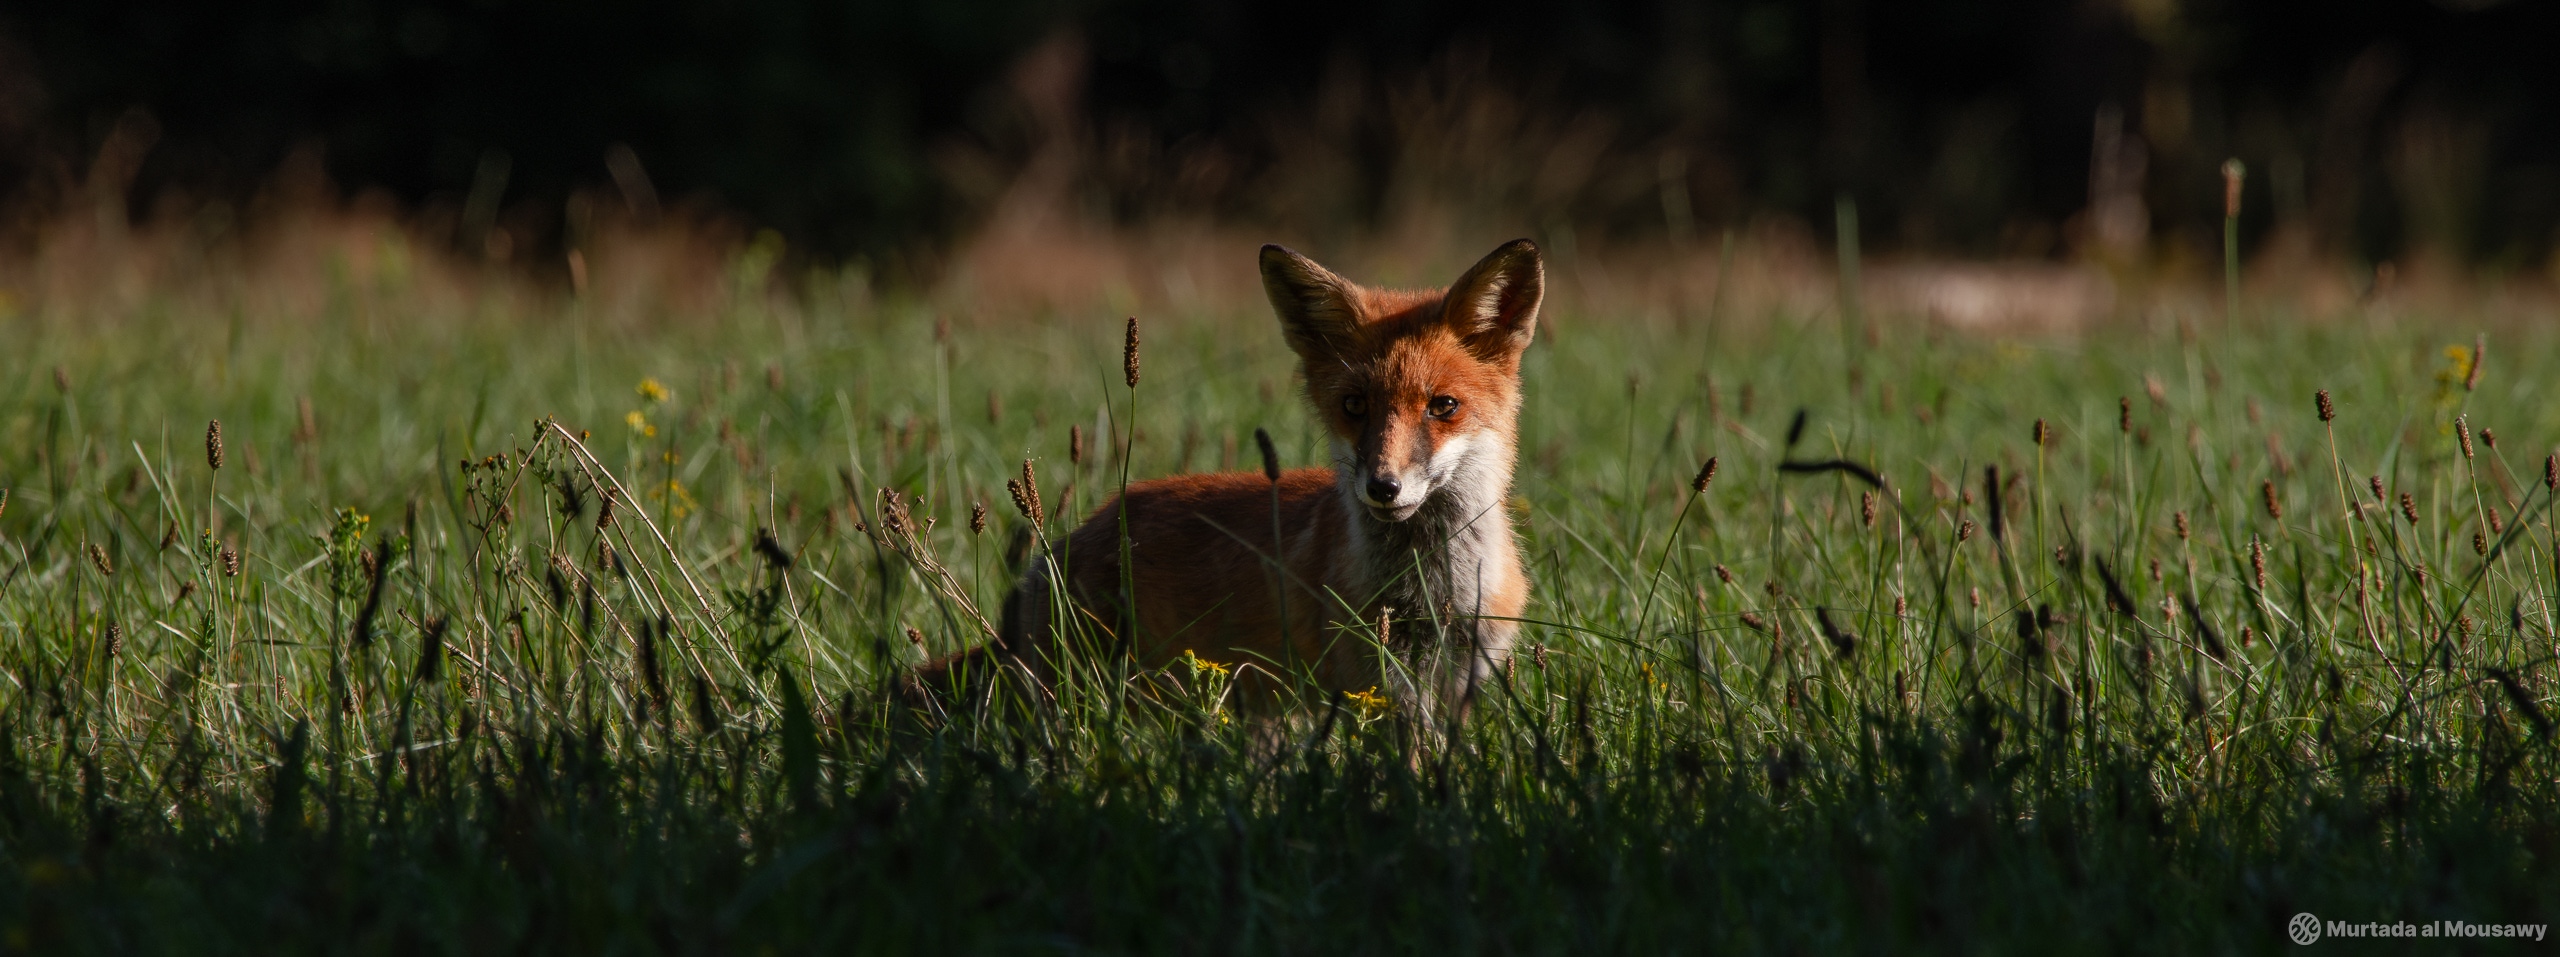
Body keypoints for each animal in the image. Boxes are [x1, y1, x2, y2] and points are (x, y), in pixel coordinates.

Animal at [913, 238, 1542, 722]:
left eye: (1443, 406)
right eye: (1354, 405)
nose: (1383, 487)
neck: (1430, 592)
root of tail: (1071, 539)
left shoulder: (1459, 680)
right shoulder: (1379, 682)